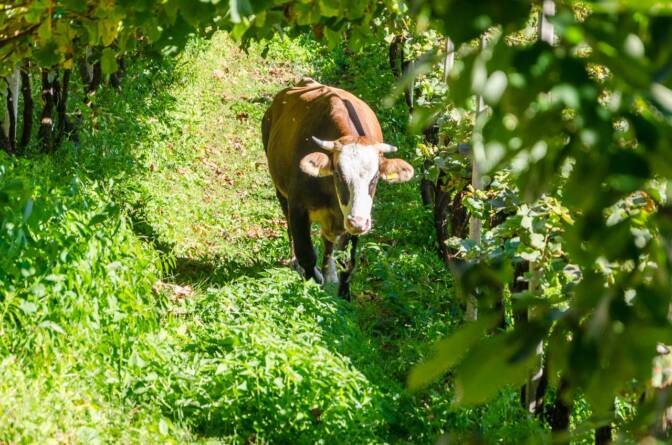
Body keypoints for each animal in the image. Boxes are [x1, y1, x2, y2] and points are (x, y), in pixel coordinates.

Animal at [262, 78, 414, 299]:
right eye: (339, 176)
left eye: (375, 178)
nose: (357, 222)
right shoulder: (298, 207)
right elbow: (306, 253)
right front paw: (312, 287)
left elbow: (347, 261)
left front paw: (344, 295)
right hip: (280, 190)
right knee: (291, 231)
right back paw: (297, 264)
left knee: (328, 241)